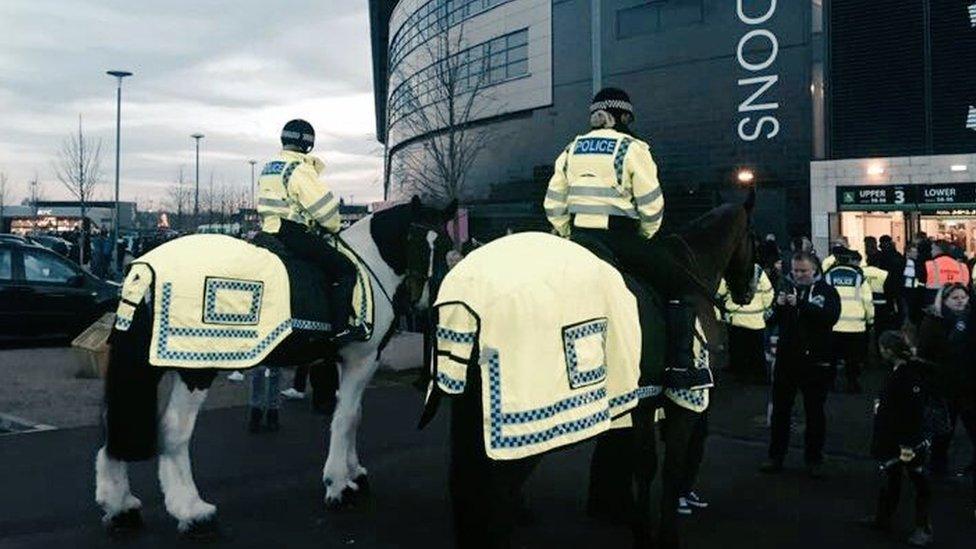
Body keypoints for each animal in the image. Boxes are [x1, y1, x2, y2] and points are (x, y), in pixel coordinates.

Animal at [93, 197, 456, 536]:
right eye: (413, 239)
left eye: (447, 245)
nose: (424, 300)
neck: (370, 266)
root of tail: (149, 266)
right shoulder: (362, 359)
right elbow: (345, 419)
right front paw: (338, 484)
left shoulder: (349, 362)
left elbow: (353, 416)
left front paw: (355, 473)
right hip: (195, 370)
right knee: (174, 431)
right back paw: (192, 511)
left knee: (118, 422)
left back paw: (120, 506)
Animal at [426, 195, 756, 544]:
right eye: (753, 237)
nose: (747, 291)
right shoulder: (685, 401)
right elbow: (671, 469)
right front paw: (666, 534)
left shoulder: (645, 399)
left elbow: (645, 465)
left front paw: (642, 529)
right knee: (498, 493)